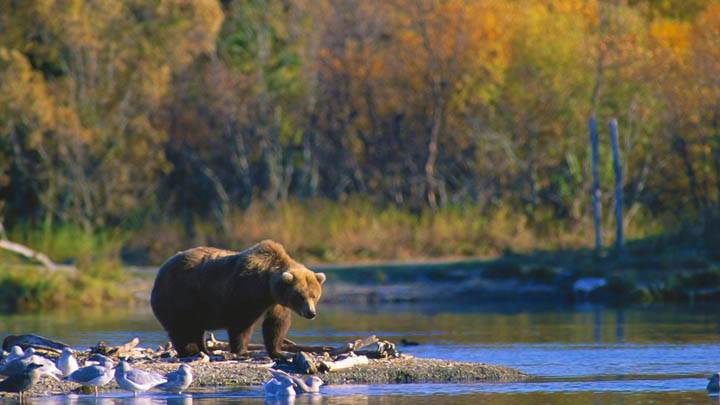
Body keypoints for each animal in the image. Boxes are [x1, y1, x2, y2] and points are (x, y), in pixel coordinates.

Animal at [150, 240, 325, 359]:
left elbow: (276, 324)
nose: (311, 313)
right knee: (182, 325)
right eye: (300, 296)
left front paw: (278, 351)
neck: (267, 286)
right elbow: (241, 324)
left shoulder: (275, 302)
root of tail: (161, 269)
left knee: (197, 328)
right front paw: (242, 351)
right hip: (180, 294)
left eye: (314, 295)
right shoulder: (244, 291)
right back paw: (190, 350)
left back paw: (204, 349)